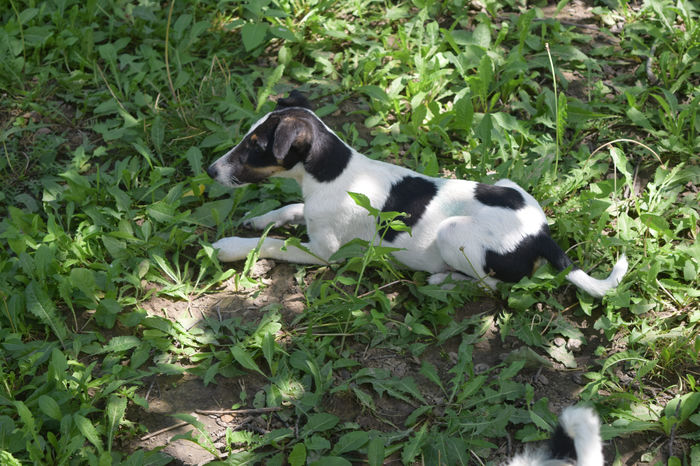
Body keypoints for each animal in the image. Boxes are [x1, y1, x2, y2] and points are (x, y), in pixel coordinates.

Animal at [205, 91, 628, 298]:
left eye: (254, 147)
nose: (210, 171)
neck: (331, 173)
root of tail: (541, 235)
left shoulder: (323, 253)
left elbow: (273, 244)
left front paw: (230, 246)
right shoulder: (309, 212)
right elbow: (288, 209)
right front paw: (257, 219)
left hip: (453, 233)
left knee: (489, 285)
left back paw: (443, 281)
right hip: (509, 187)